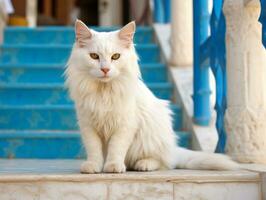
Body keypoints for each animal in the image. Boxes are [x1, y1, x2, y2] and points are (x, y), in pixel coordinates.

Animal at [65, 20, 238, 173]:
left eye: (115, 57)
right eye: (94, 56)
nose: (105, 69)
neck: (104, 92)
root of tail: (172, 150)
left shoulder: (124, 126)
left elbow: (116, 148)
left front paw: (113, 167)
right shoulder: (88, 126)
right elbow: (94, 149)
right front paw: (93, 166)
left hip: (150, 138)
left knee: (162, 162)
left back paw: (143, 165)